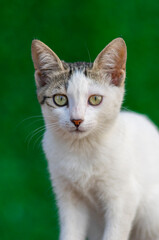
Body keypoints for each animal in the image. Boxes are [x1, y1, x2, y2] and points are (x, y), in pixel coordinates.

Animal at [31, 38, 159, 240]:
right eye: (60, 99)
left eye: (95, 99)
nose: (76, 120)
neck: (82, 149)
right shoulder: (67, 196)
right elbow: (70, 231)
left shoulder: (124, 197)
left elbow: (115, 233)